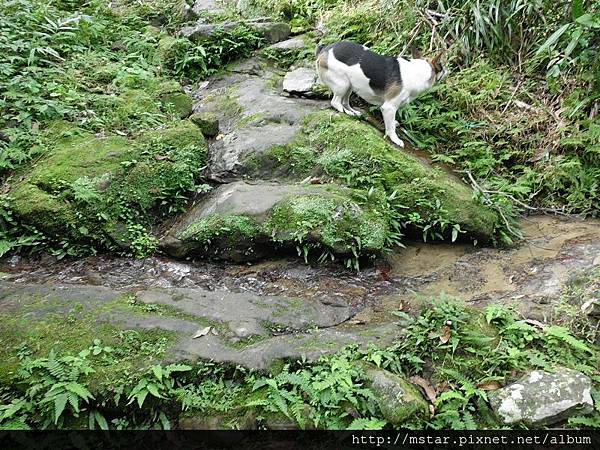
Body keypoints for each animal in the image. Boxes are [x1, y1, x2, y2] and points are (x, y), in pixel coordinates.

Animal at [316, 40, 448, 148]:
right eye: (441, 66)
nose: (447, 69)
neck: (418, 71)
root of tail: (324, 50)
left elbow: (392, 122)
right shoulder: (389, 108)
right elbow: (390, 127)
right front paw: (395, 139)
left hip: (349, 85)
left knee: (345, 101)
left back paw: (352, 111)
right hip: (342, 84)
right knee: (335, 102)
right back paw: (345, 111)